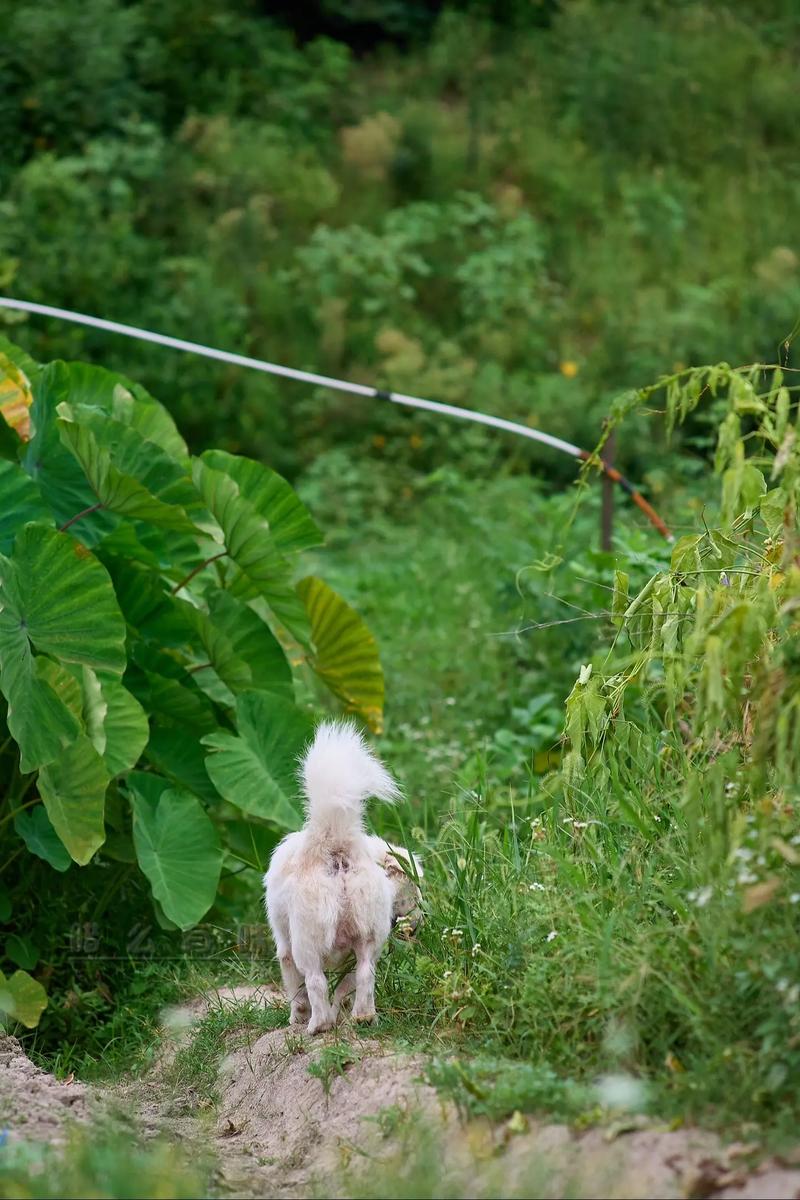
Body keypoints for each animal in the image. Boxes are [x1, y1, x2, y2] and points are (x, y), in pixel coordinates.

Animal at [263, 715, 424, 1036]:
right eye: (415, 893)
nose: (422, 921)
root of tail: (335, 844)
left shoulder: (284, 946)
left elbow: (297, 990)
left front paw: (297, 1018)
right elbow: (344, 989)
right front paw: (344, 1013)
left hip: (307, 943)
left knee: (315, 982)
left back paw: (318, 1026)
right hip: (368, 943)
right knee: (364, 977)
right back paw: (363, 1017)